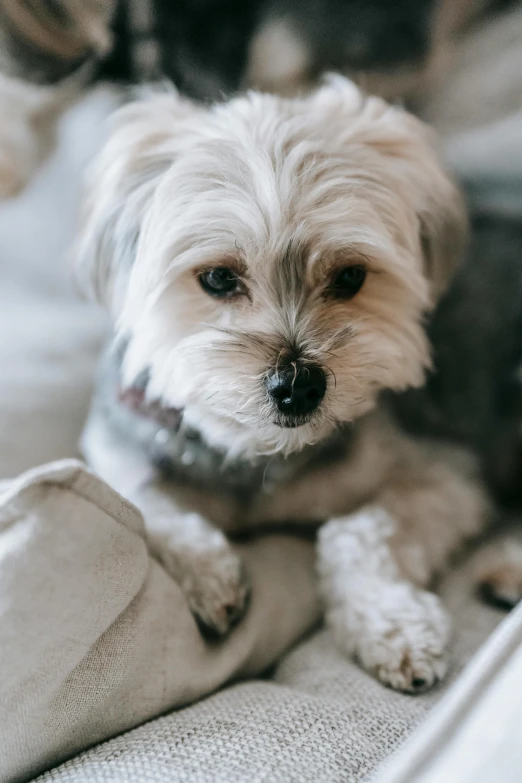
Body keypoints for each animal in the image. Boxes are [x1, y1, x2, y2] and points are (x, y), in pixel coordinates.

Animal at [77, 78, 488, 692]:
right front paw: (209, 573)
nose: (298, 386)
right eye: (218, 278)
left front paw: (391, 624)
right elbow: (140, 501)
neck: (259, 459)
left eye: (351, 276)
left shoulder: (447, 476)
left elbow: (356, 531)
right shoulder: (113, 448)